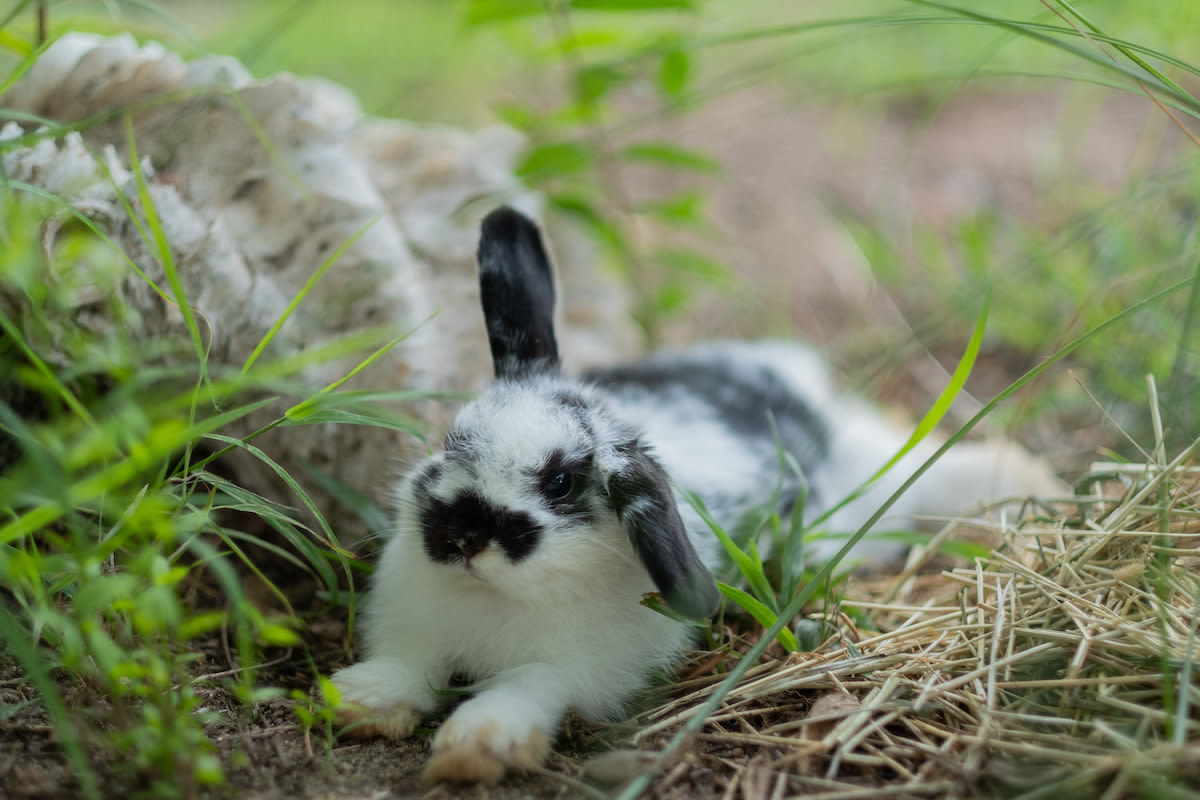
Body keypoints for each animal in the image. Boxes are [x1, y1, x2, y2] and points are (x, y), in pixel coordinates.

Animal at [326, 205, 1060, 782]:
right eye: (454, 440)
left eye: (562, 481)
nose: (463, 536)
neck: (497, 597)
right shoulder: (415, 631)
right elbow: (408, 667)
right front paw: (357, 703)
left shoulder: (570, 669)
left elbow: (523, 691)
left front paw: (474, 748)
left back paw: (1030, 484)